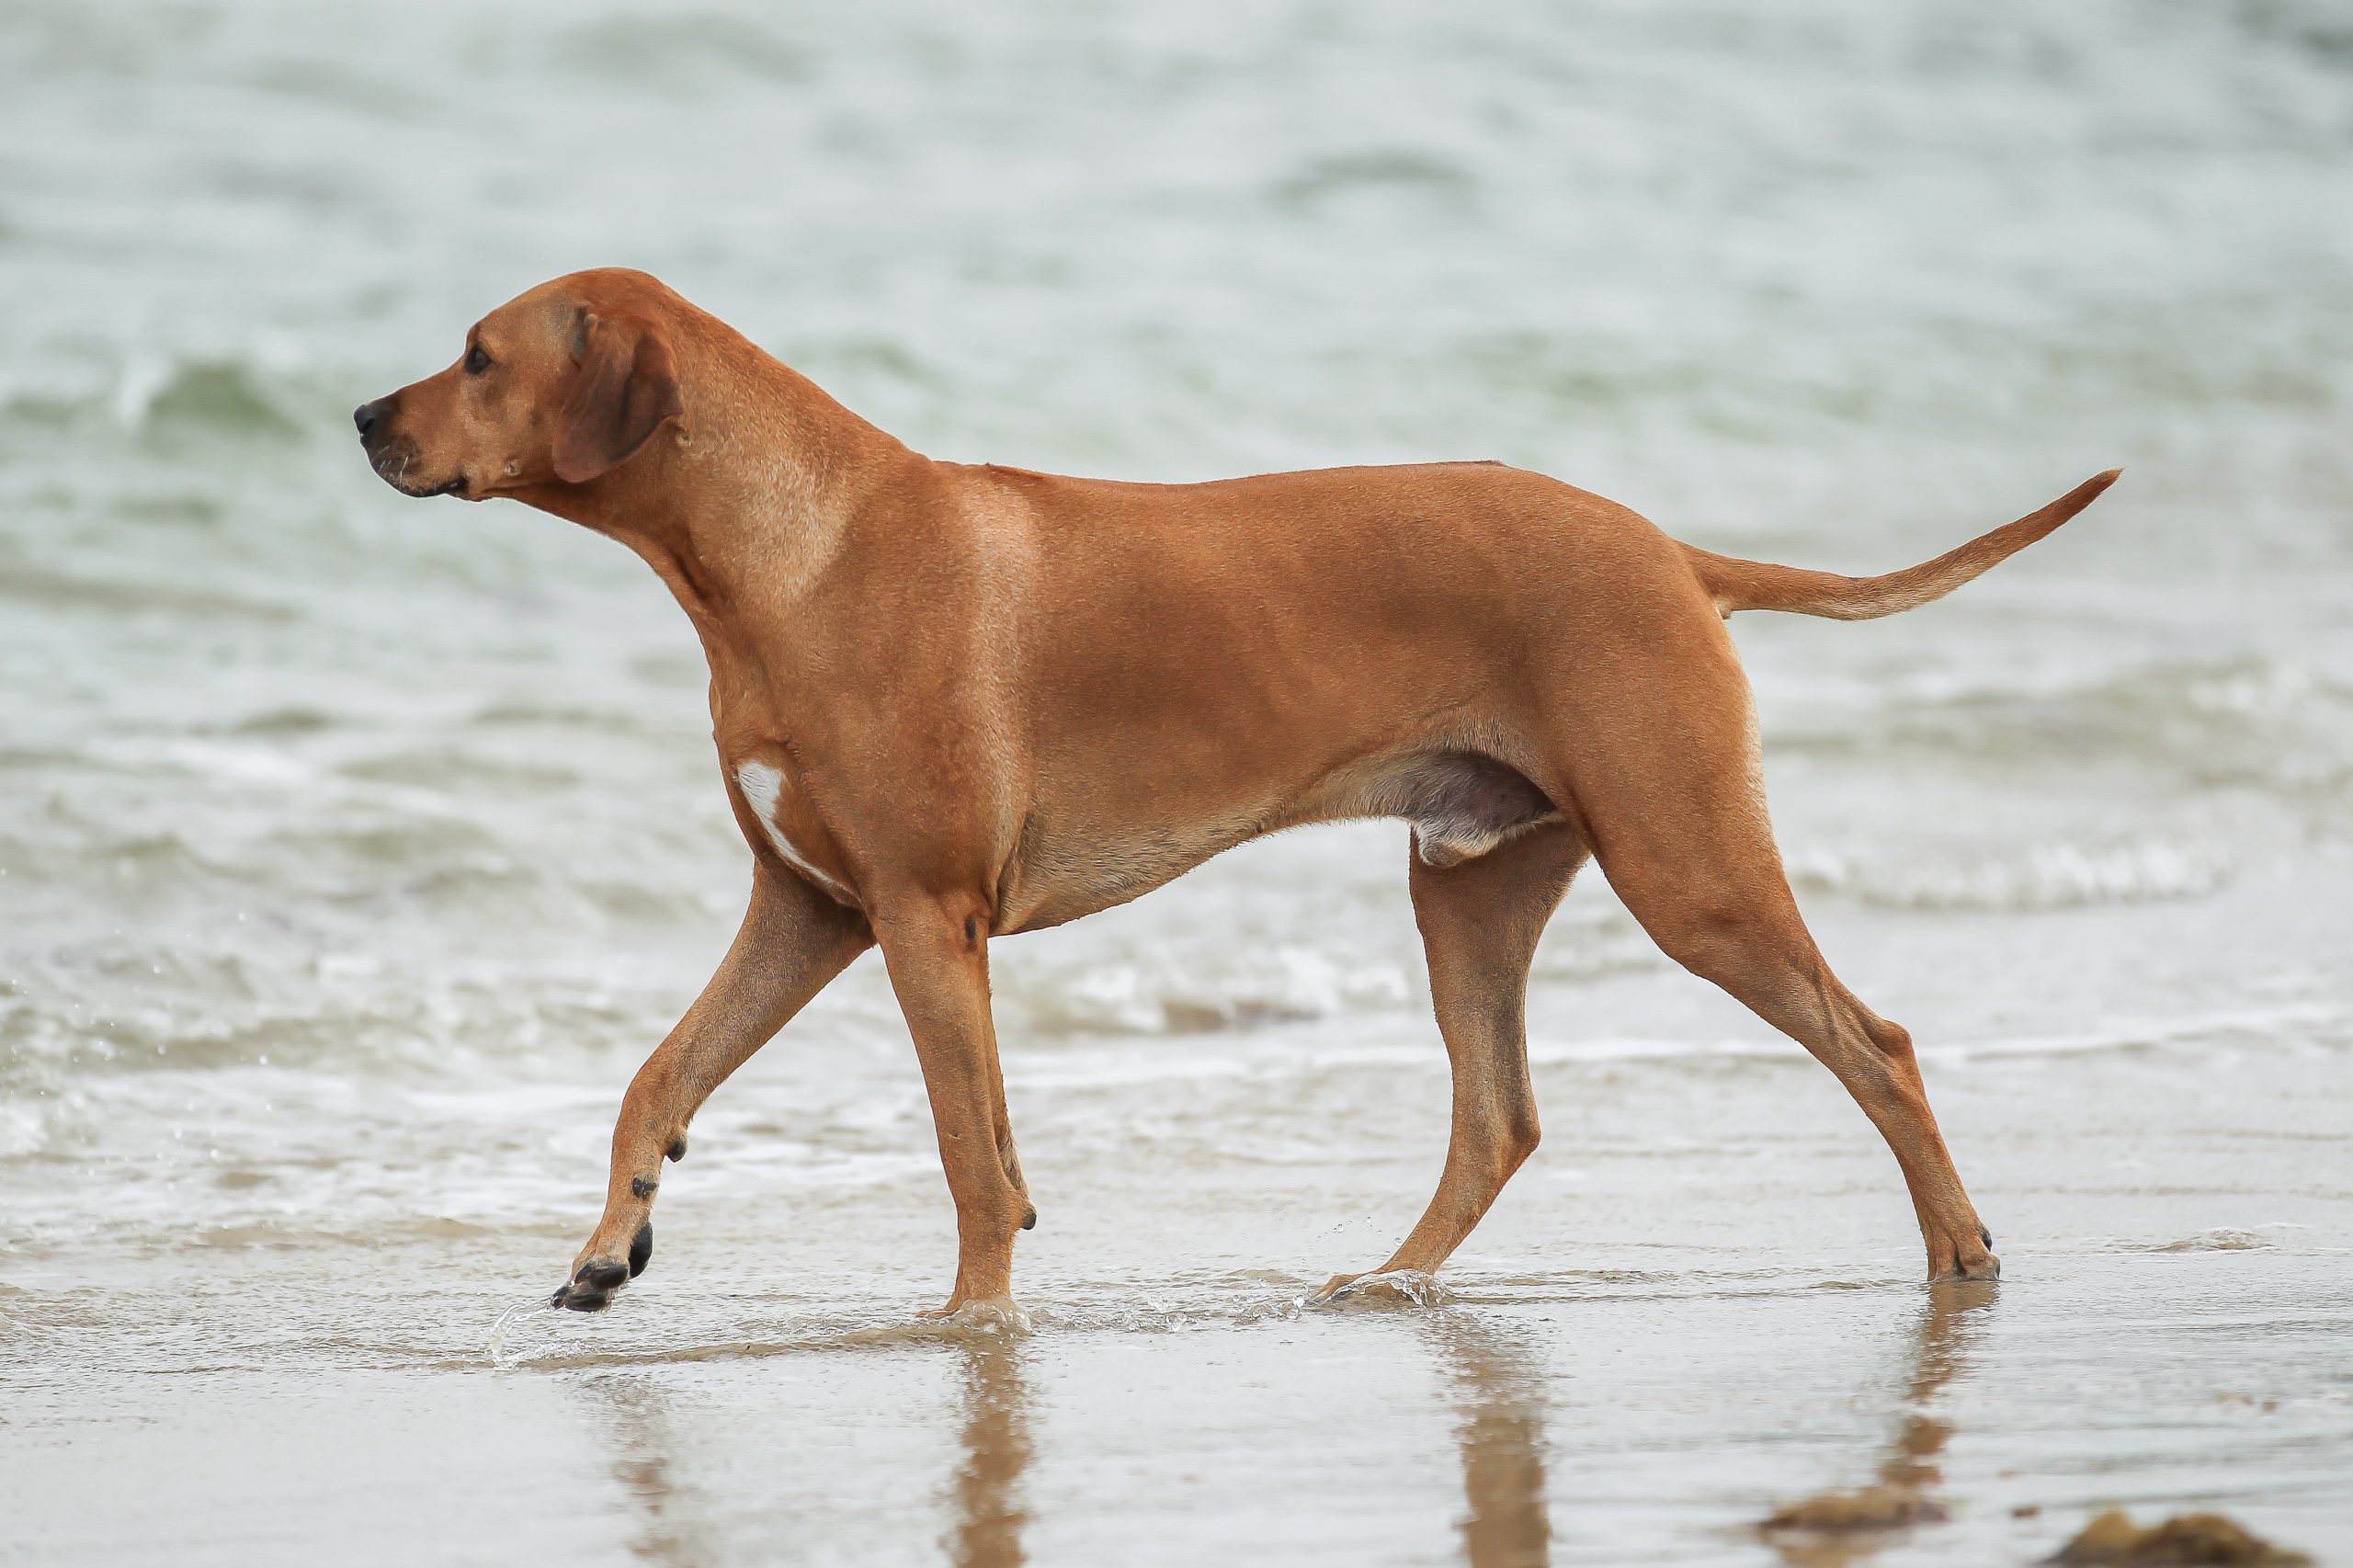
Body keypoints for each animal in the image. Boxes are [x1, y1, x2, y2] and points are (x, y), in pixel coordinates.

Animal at [358, 266, 2127, 1309]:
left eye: (478, 356)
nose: (363, 414)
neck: (784, 549)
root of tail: (1668, 549)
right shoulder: (810, 911)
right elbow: (658, 1073)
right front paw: (610, 1239)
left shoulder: (926, 921)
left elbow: (970, 1159)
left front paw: (969, 1330)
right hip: (1470, 880)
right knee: (1500, 1114)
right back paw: (1391, 1279)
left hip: (1686, 863)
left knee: (1873, 1040)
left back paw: (1960, 1253)